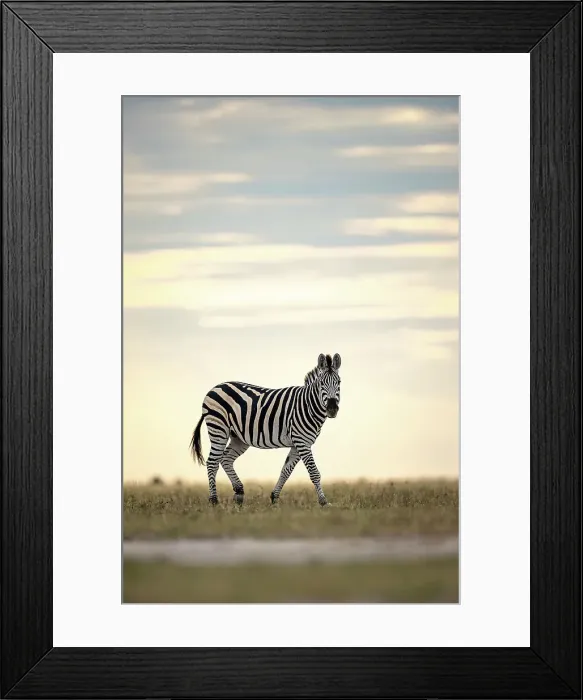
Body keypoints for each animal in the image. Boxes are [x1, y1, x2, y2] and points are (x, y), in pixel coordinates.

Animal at [189, 353, 341, 506]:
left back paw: (239, 493)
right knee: (212, 462)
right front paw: (323, 502)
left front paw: (274, 497)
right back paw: (214, 501)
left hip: (239, 437)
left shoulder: (300, 443)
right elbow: (314, 472)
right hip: (218, 428)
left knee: (225, 459)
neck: (308, 405)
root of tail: (215, 387)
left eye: (339, 382)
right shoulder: (302, 441)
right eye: (321, 383)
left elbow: (286, 470)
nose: (332, 409)